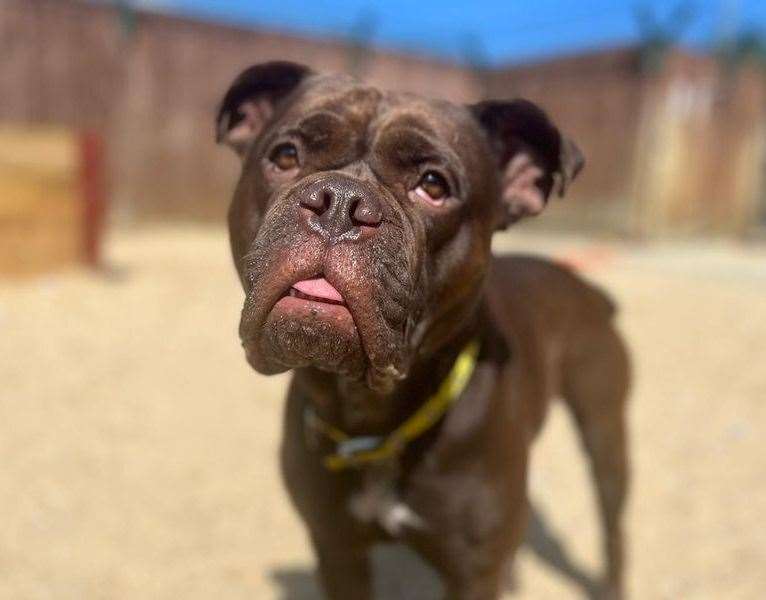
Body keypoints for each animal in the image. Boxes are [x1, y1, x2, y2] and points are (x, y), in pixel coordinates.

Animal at [214, 62, 632, 600]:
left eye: (433, 186)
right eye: (286, 156)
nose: (340, 202)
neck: (372, 421)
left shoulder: (471, 572)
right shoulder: (336, 549)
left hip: (604, 430)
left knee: (612, 524)